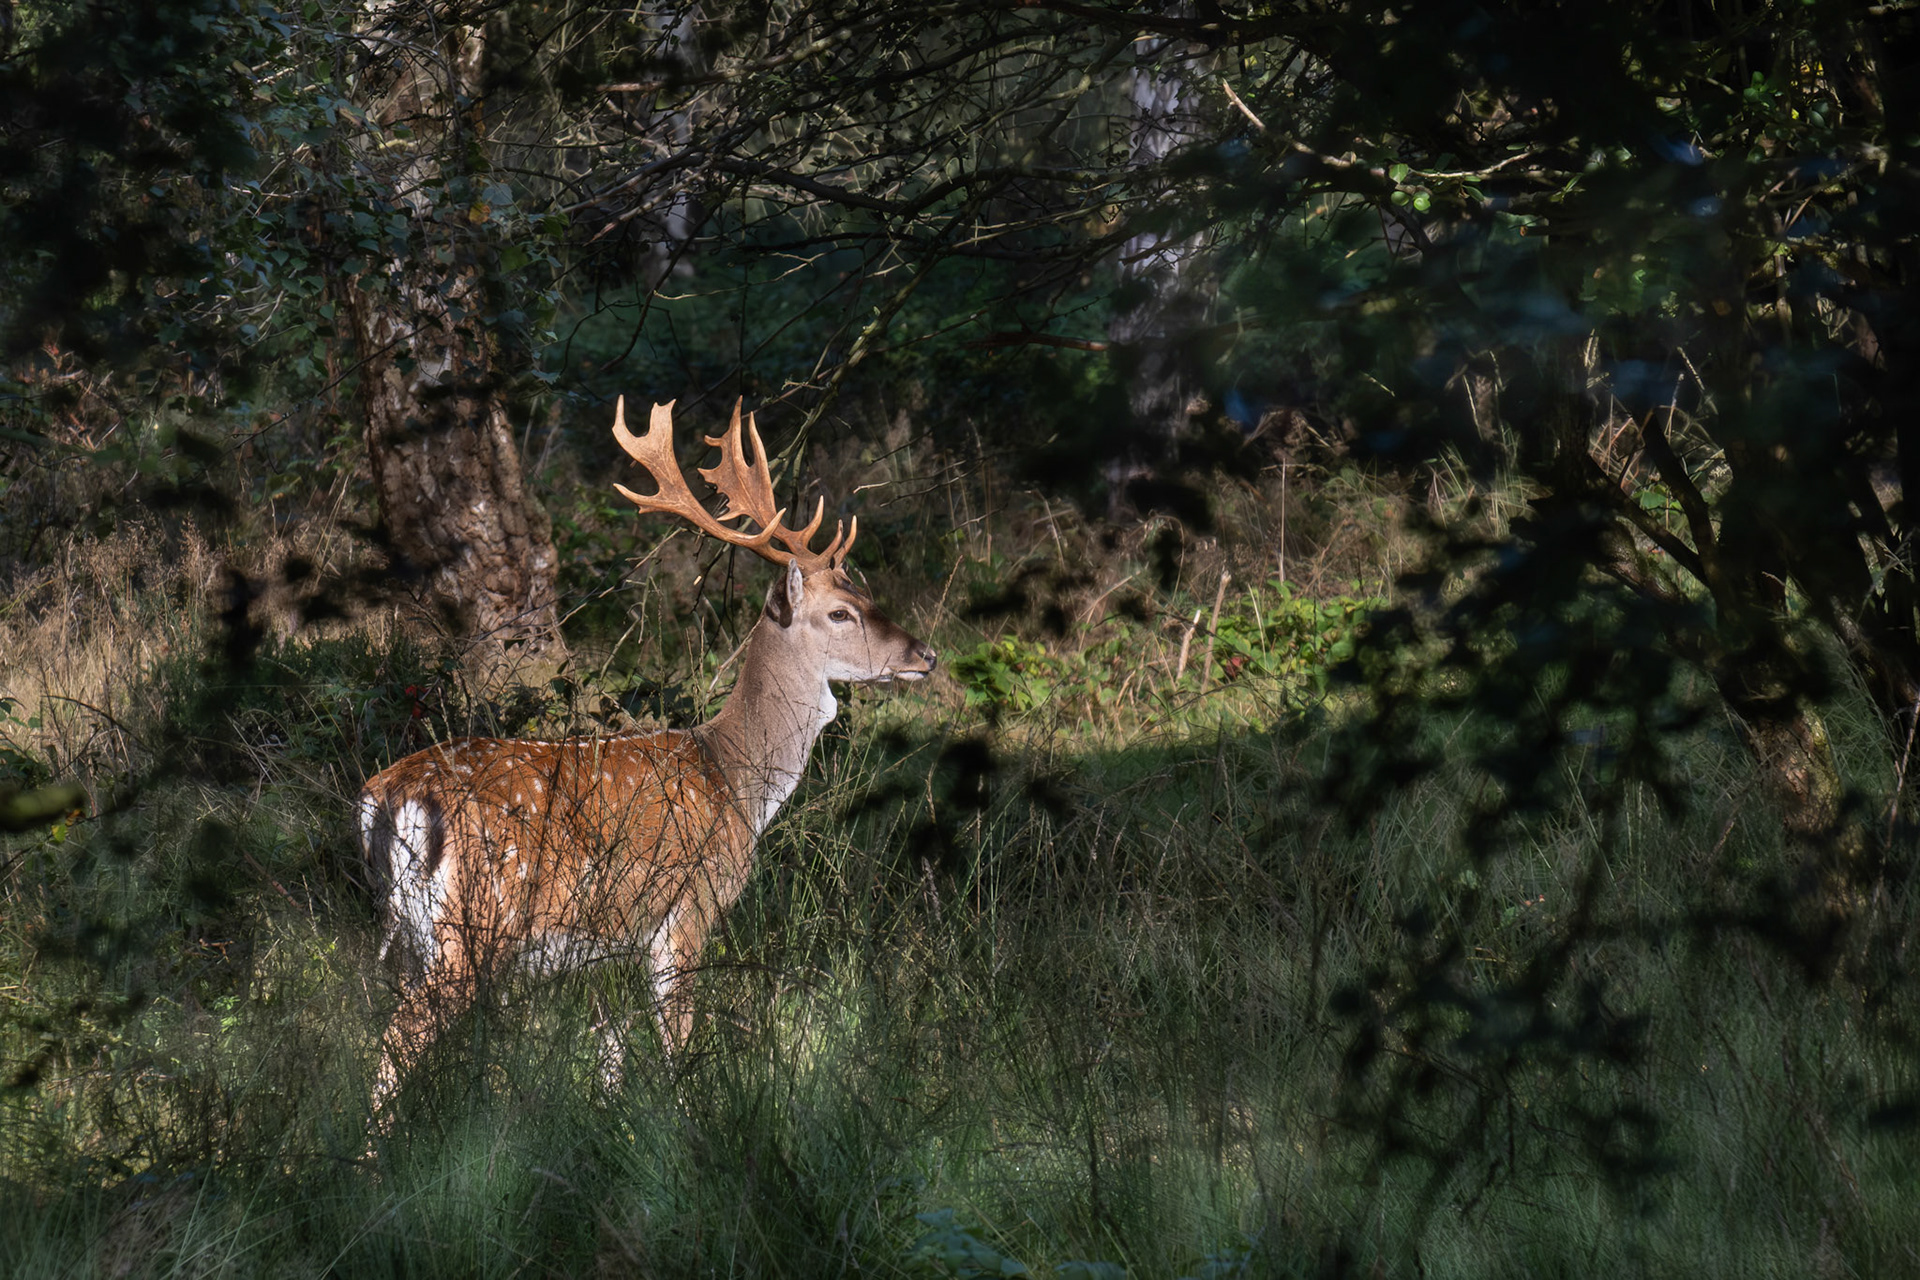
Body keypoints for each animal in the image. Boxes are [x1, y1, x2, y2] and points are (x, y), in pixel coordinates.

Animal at [358, 398, 937, 1115]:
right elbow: (676, 1043)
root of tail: (388, 796)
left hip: (408, 929)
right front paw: (688, 1123)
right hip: (473, 922)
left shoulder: (609, 950)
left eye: (868, 599)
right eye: (839, 614)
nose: (925, 655)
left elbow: (610, 1050)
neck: (737, 781)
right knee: (395, 1045)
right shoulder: (688, 909)